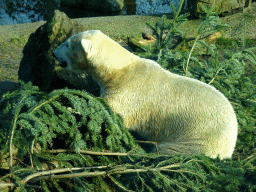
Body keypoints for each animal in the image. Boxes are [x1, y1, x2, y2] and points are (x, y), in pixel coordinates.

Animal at [53, 30, 238, 159]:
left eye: (67, 44)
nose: (54, 53)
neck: (121, 70)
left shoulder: (130, 93)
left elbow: (108, 110)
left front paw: (67, 106)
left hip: (199, 138)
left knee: (171, 150)